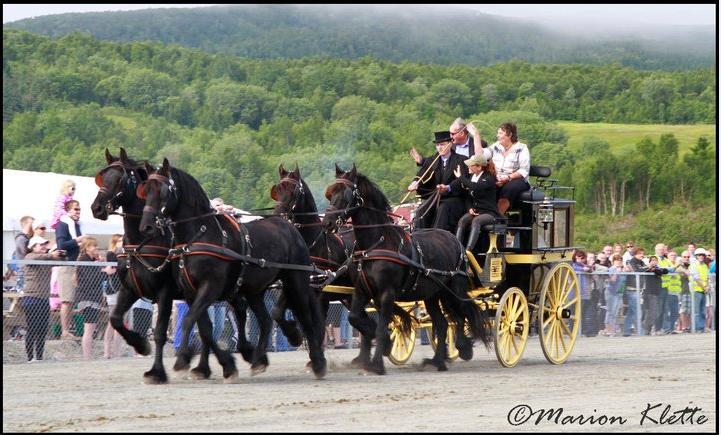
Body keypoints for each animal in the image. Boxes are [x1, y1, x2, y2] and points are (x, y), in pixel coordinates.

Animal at [91, 148, 256, 384]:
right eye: (103, 177)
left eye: (120, 179)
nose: (96, 208)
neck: (143, 242)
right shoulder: (130, 288)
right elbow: (115, 320)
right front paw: (140, 345)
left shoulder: (165, 292)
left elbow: (161, 332)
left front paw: (157, 371)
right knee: (215, 323)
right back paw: (207, 366)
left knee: (235, 314)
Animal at [137, 158, 326, 380]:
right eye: (146, 190)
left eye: (164, 190)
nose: (146, 226)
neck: (199, 236)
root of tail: (290, 227)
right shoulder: (192, 292)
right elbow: (205, 328)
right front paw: (224, 364)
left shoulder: (210, 287)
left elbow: (190, 320)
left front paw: (183, 358)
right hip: (255, 290)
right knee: (266, 320)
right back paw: (259, 360)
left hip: (296, 280)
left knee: (305, 317)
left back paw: (316, 361)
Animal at [324, 164, 492, 374]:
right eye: (330, 193)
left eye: (346, 194)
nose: (327, 222)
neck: (376, 244)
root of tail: (456, 240)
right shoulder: (362, 290)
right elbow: (355, 318)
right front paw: (378, 345)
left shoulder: (387, 293)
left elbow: (381, 329)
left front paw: (377, 363)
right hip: (432, 294)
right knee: (443, 323)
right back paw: (438, 361)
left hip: (455, 287)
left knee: (462, 313)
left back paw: (462, 347)